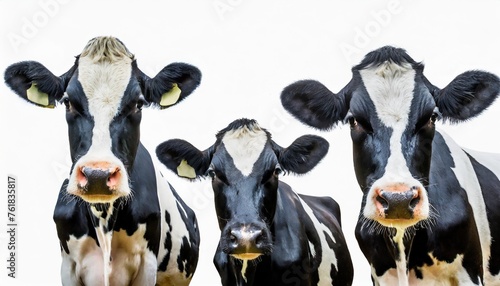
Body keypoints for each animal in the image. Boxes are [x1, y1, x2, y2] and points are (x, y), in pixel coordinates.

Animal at [3, 36, 202, 286]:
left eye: (139, 103)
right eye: (68, 102)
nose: (97, 175)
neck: (104, 220)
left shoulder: (147, 265)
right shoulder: (68, 266)